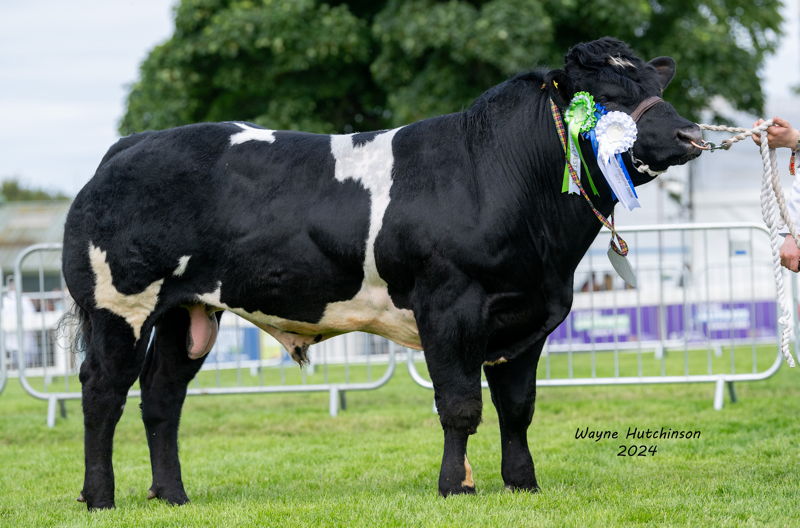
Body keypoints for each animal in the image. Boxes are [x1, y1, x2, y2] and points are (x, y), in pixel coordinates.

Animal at [61, 37, 700, 508]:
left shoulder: (527, 316)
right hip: (120, 306)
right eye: (604, 93)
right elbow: (459, 405)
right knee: (102, 391)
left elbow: (517, 408)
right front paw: (455, 487)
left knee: (161, 396)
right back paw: (100, 498)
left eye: (656, 86)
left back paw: (172, 495)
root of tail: (130, 146)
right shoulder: (450, 305)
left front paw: (523, 485)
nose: (689, 135)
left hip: (187, 310)